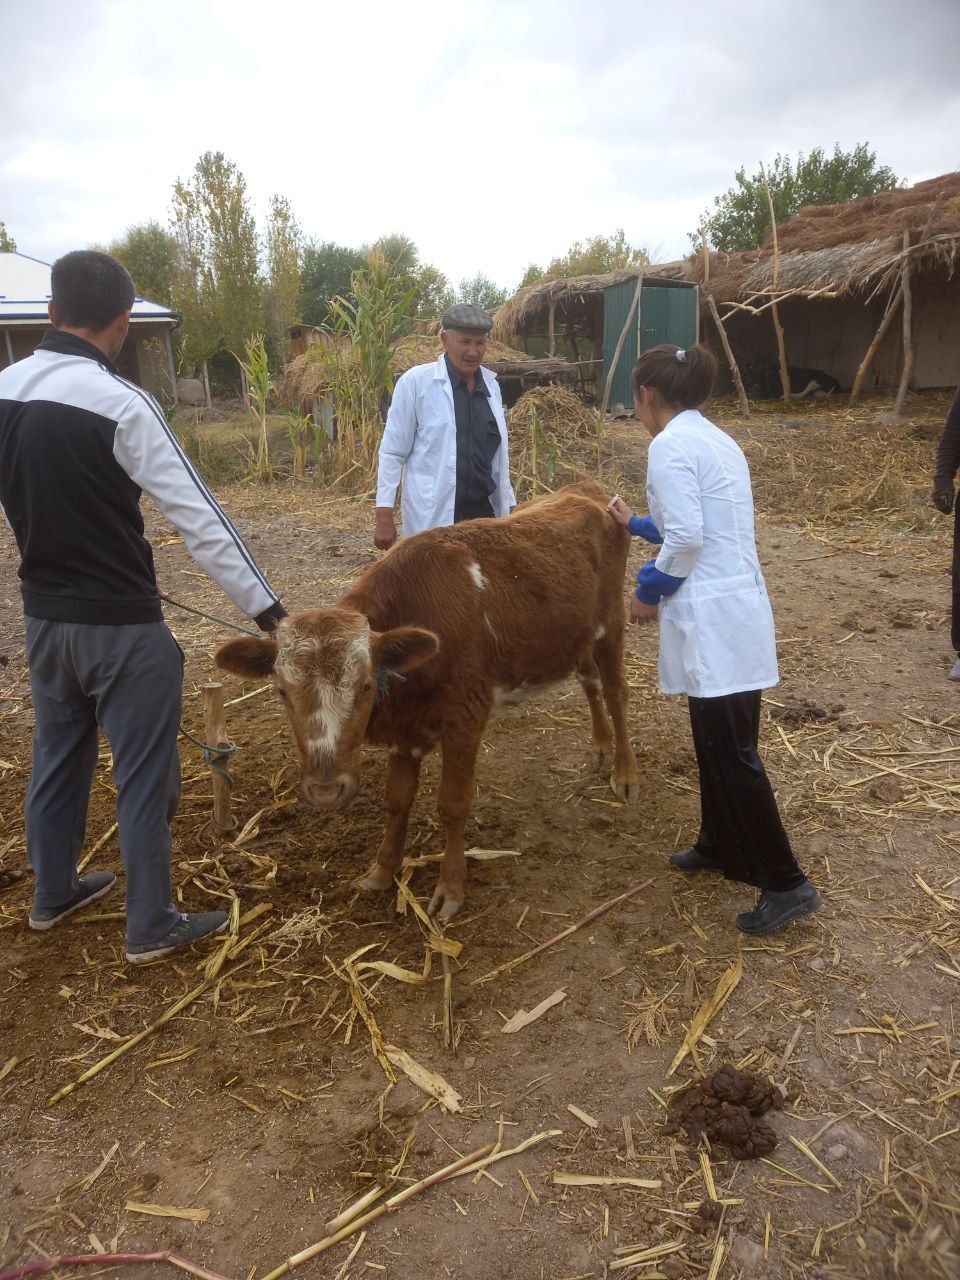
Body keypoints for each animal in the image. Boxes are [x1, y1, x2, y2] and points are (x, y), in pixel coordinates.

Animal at [215, 481, 640, 918]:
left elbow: (452, 804)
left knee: (615, 693)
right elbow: (397, 800)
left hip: (612, 624)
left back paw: (625, 773)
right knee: (589, 681)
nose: (327, 791)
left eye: (366, 685)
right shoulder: (405, 730)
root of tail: (586, 489)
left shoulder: (465, 718)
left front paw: (450, 886)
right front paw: (383, 871)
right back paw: (601, 747)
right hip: (577, 636)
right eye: (282, 690)